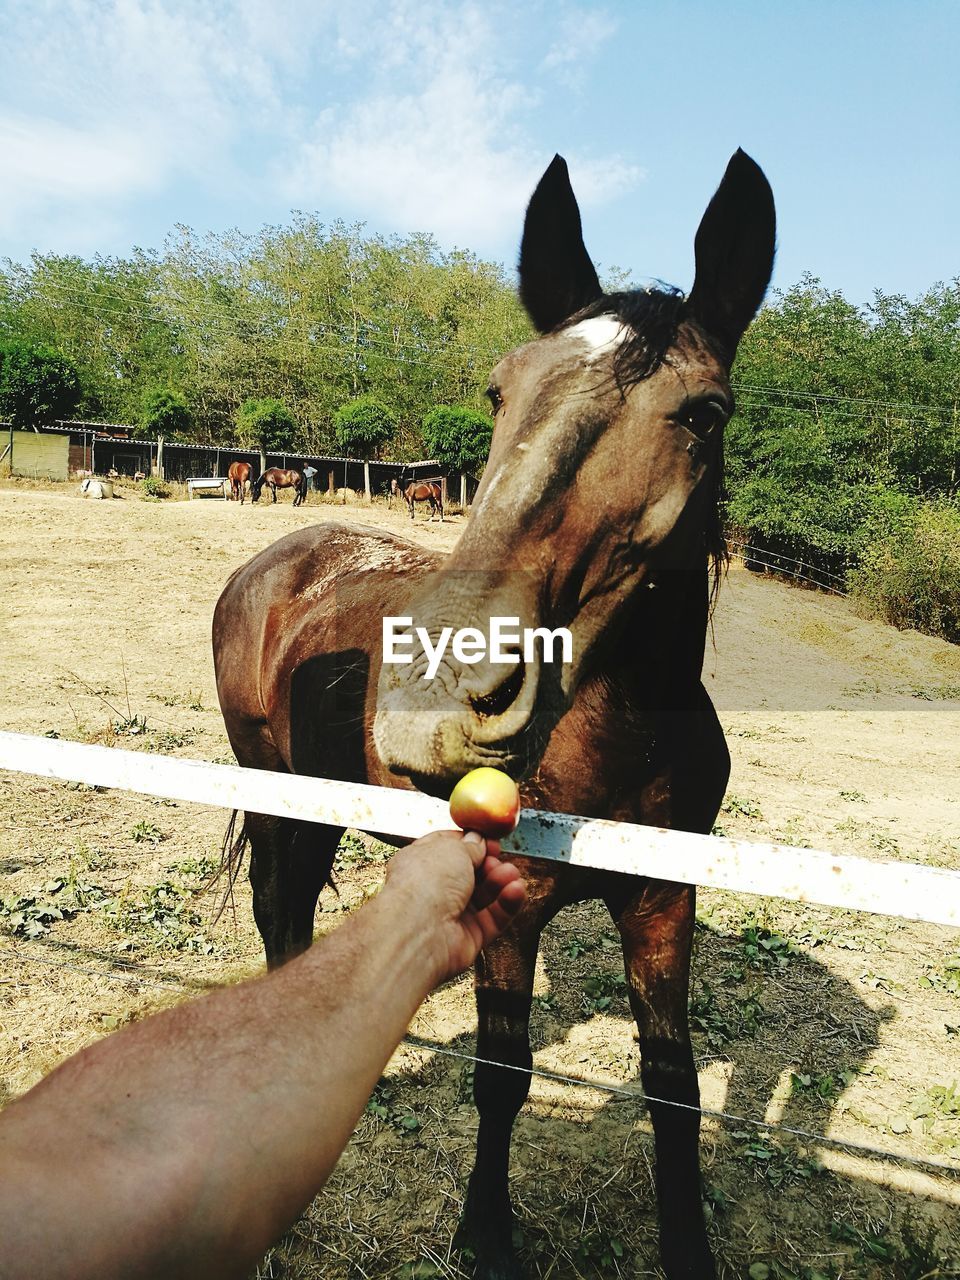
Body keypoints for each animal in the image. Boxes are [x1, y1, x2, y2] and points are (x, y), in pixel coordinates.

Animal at [213, 152, 778, 1280]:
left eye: (704, 412)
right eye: (499, 390)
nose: (446, 696)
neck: (625, 737)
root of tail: (271, 560)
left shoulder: (666, 905)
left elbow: (676, 1090)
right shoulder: (510, 910)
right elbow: (502, 1075)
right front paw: (485, 1233)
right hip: (282, 795)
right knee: (281, 913)